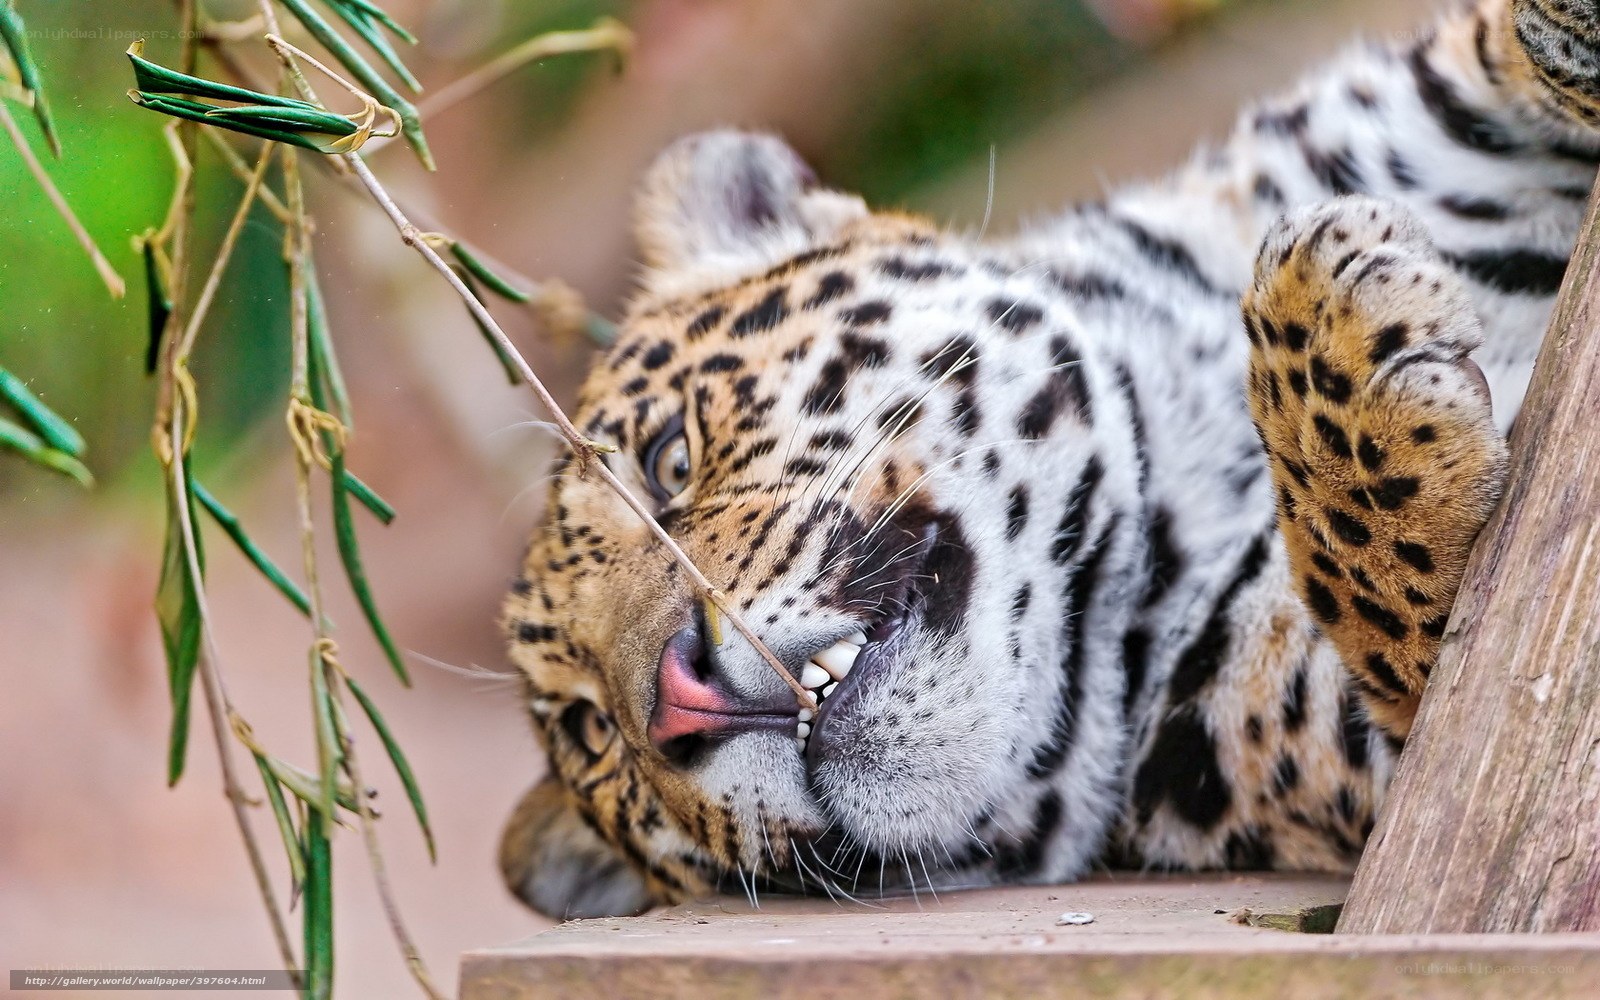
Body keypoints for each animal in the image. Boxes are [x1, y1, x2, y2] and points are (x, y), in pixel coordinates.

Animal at [497, 0, 1600, 920]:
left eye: (668, 459)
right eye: (593, 736)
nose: (677, 701)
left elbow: (1490, 49)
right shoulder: (1386, 753)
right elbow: (1416, 620)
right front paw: (1324, 312)